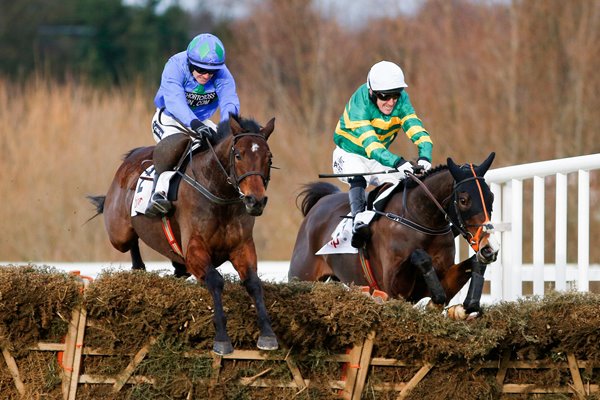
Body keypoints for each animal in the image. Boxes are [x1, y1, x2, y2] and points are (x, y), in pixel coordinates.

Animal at [88, 114, 278, 354]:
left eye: (268, 157)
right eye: (238, 155)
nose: (256, 201)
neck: (219, 193)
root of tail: (129, 159)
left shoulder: (242, 247)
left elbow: (253, 283)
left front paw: (268, 334)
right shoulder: (195, 250)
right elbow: (215, 280)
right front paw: (222, 338)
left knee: (176, 268)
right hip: (118, 234)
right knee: (130, 242)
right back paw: (139, 266)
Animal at [288, 152, 500, 318]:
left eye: (491, 197)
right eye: (464, 200)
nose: (489, 248)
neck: (421, 220)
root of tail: (321, 202)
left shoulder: (439, 278)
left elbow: (472, 265)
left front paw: (466, 306)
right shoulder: (394, 289)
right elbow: (421, 258)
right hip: (302, 276)